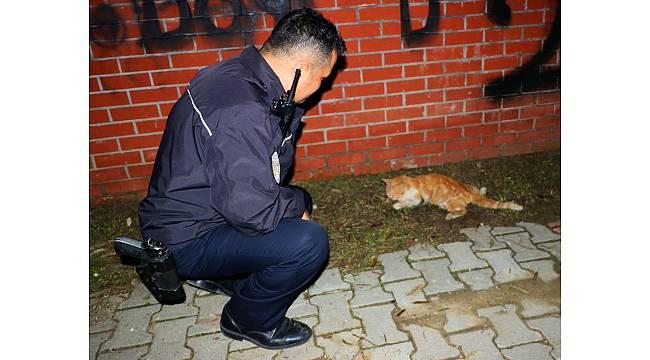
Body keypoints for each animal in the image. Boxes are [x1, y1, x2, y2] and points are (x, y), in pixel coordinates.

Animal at [380, 172, 520, 219]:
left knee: (464, 210)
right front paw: (387, 201)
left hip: (448, 203)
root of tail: (467, 192)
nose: (391, 197)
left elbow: (406, 202)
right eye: (388, 193)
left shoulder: (417, 199)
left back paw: (451, 216)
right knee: (478, 192)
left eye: (394, 193)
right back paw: (482, 189)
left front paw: (397, 204)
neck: (411, 183)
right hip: (469, 186)